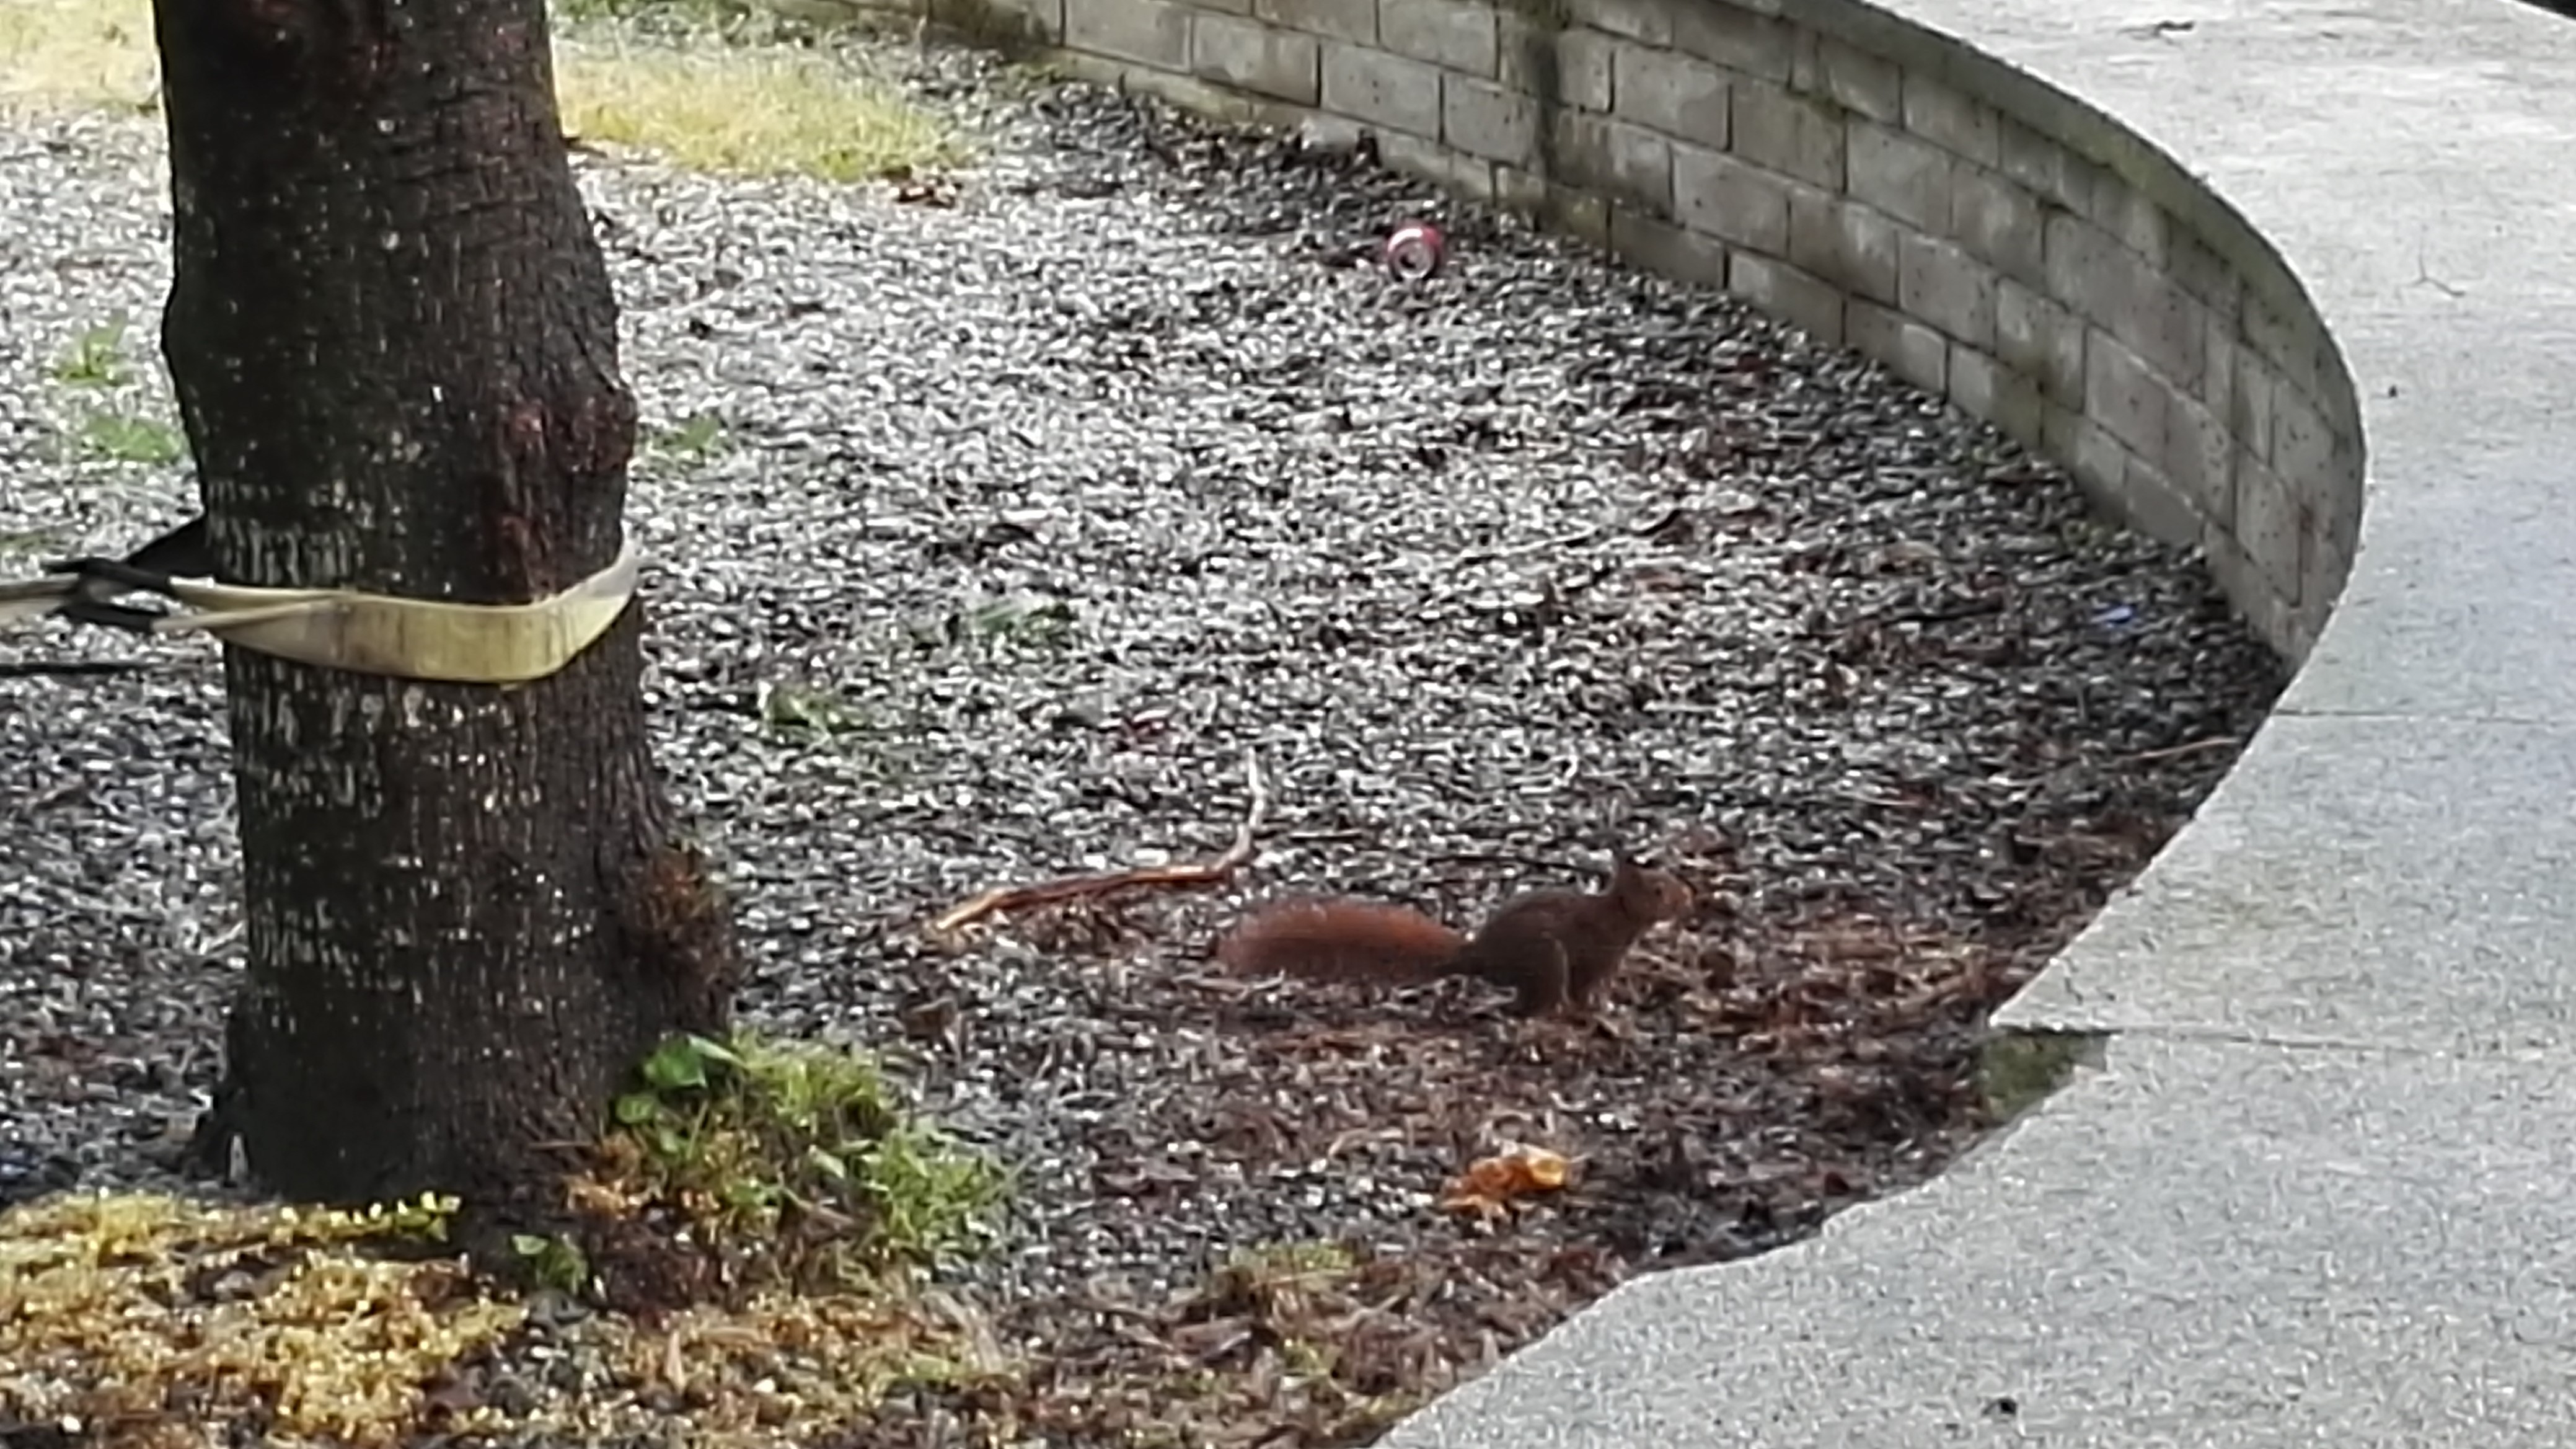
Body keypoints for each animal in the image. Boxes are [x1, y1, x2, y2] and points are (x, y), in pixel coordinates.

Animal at [1215, 853, 1693, 1018]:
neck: (1615, 915)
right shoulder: (1596, 955)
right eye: (1658, 890)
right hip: (1547, 959)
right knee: (1536, 1003)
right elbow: (1586, 988)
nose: (1687, 898)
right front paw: (1598, 1010)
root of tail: (1480, 957)